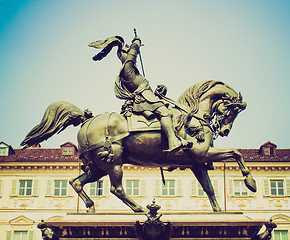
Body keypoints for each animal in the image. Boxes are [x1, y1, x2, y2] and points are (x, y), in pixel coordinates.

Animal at [21, 80, 256, 212]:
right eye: (233, 110)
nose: (224, 130)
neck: (192, 116)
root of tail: (87, 119)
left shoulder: (197, 163)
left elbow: (209, 188)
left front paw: (219, 211)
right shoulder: (202, 153)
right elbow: (236, 153)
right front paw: (251, 182)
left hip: (98, 166)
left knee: (76, 182)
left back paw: (90, 207)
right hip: (113, 160)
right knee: (115, 189)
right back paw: (139, 209)